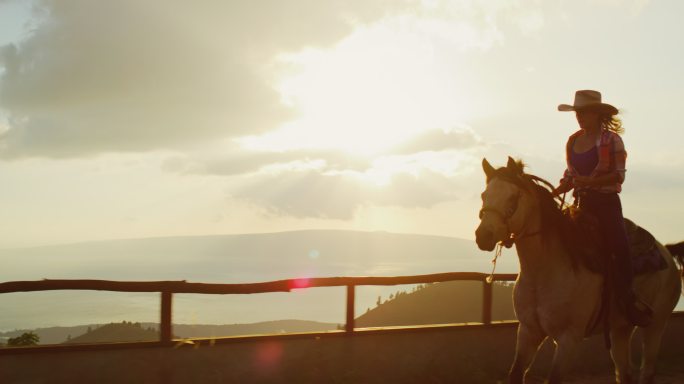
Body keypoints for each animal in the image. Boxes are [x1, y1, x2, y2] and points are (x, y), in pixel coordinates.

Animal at [472, 157, 680, 384]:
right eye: (484, 195)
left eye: (513, 197)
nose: (483, 236)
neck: (543, 272)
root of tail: (665, 251)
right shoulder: (528, 331)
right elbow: (516, 373)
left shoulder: (569, 338)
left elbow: (554, 377)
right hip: (620, 328)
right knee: (624, 372)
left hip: (656, 324)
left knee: (647, 369)